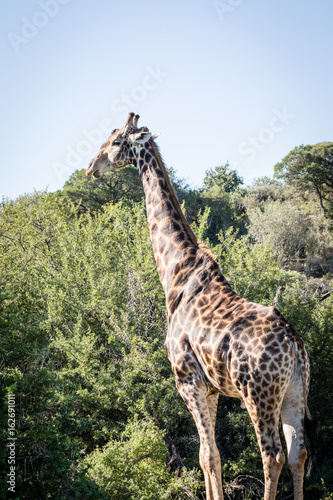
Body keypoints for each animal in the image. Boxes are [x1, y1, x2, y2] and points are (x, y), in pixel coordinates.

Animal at [86, 113, 312, 500]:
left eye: (115, 142)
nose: (91, 167)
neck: (175, 274)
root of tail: (295, 345)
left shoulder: (186, 380)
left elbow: (207, 455)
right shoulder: (212, 389)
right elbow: (212, 456)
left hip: (258, 394)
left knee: (273, 455)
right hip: (295, 391)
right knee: (299, 452)